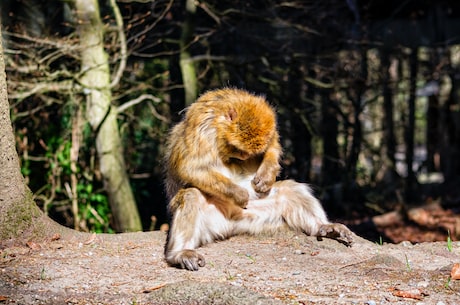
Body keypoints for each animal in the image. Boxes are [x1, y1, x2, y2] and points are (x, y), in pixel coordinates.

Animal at [164, 86, 354, 270]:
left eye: (248, 153)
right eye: (237, 149)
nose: (243, 157)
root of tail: (230, 223)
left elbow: (273, 145)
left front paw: (266, 175)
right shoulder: (202, 125)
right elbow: (190, 167)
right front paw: (239, 194)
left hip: (254, 218)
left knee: (289, 190)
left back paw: (324, 226)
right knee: (191, 195)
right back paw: (181, 252)